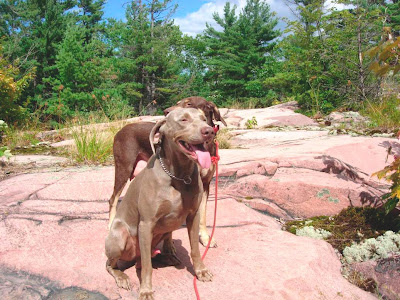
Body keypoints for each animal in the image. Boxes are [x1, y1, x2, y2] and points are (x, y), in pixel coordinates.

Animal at [104, 108, 214, 298]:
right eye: (183, 119)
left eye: (204, 118)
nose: (209, 131)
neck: (178, 175)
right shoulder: (146, 224)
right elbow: (147, 268)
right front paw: (146, 291)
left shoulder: (193, 216)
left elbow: (195, 249)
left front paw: (201, 271)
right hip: (120, 234)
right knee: (113, 264)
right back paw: (122, 277)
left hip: (162, 232)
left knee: (147, 258)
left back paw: (168, 257)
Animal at [108, 97, 228, 247]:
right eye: (178, 103)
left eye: (189, 103)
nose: (166, 112)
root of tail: (120, 130)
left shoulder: (205, 184)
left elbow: (203, 215)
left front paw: (205, 238)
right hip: (124, 168)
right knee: (113, 199)